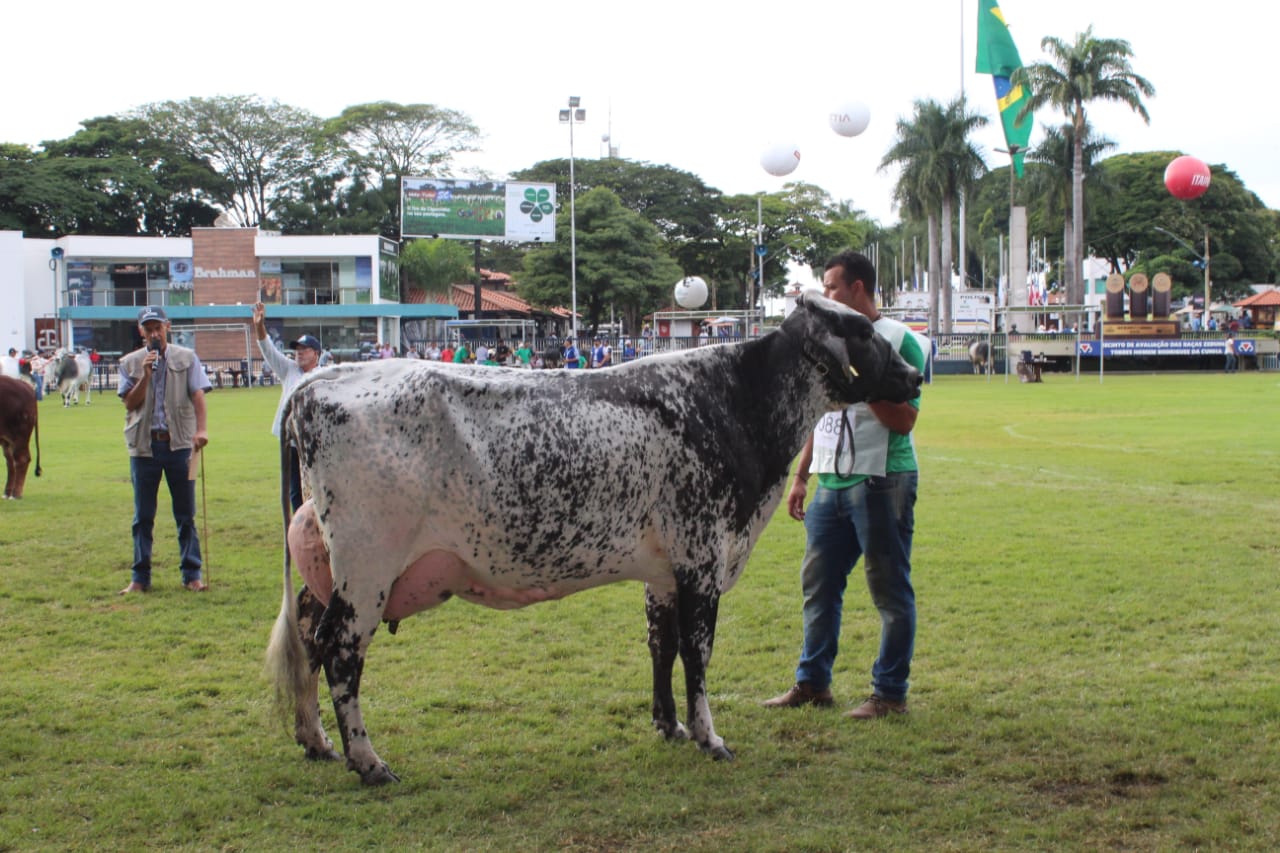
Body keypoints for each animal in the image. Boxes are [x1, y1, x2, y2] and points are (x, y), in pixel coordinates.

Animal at [265, 293, 922, 785]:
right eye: (864, 330)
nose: (916, 373)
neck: (737, 401)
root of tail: (317, 383)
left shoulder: (664, 570)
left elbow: (661, 645)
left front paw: (668, 726)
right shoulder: (702, 558)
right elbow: (698, 652)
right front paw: (709, 736)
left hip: (328, 568)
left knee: (307, 637)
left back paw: (316, 741)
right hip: (367, 568)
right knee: (339, 650)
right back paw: (369, 762)